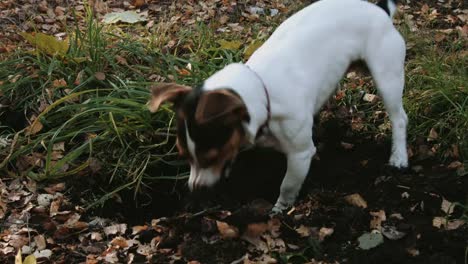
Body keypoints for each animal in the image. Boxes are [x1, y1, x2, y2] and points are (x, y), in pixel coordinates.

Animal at [148, 0, 408, 212]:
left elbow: (288, 185)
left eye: (211, 156)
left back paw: (399, 156)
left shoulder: (300, 155)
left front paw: (280, 210)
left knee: (399, 118)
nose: (195, 189)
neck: (264, 93)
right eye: (184, 155)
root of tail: (379, 10)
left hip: (387, 76)